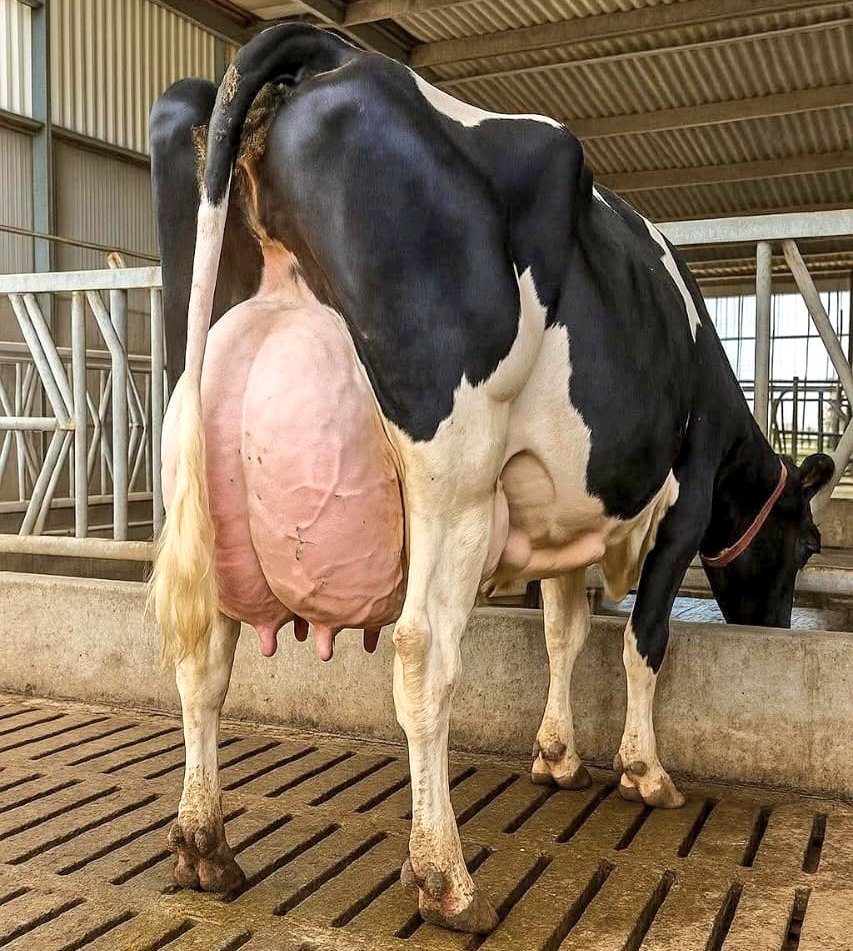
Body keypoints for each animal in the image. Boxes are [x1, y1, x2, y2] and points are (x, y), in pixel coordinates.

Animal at [149, 23, 834, 935]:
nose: (775, 626)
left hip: (191, 439)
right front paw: (644, 772)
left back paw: (203, 845)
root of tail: (325, 50)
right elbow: (643, 639)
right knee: (420, 651)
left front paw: (556, 755)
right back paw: (445, 876)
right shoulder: (681, 502)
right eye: (807, 543)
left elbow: (562, 632)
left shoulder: (562, 513)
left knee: (203, 649)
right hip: (454, 472)